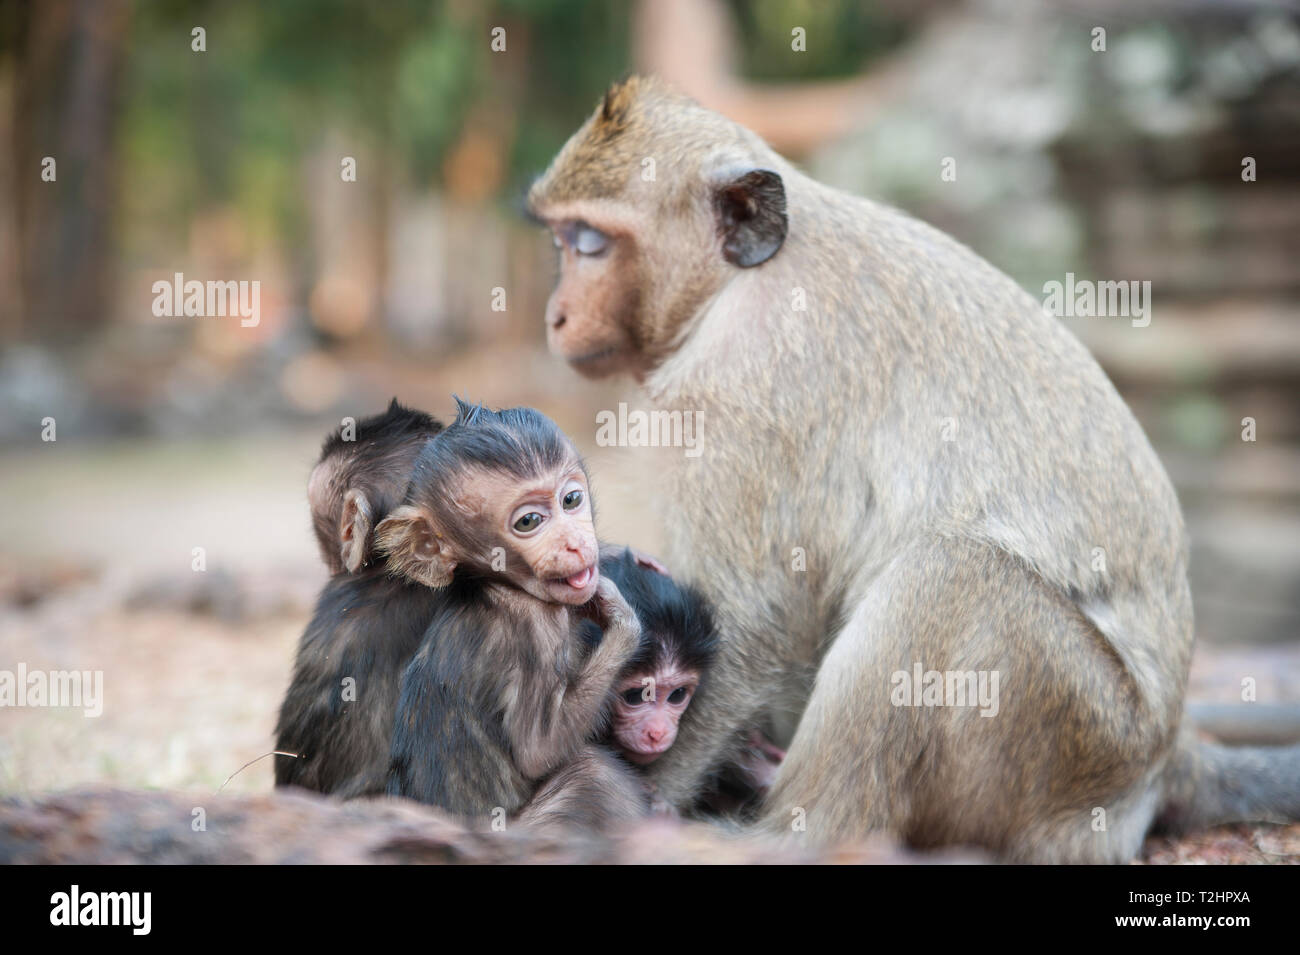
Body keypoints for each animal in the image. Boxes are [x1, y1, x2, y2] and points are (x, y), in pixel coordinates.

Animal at [527, 78, 1300, 862]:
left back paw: (789, 832)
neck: (739, 282)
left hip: (1081, 735)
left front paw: (646, 786)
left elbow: (754, 617)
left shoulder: (747, 381)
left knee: (951, 572)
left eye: (589, 243)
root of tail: (1165, 752)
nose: (554, 316)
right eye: (562, 240)